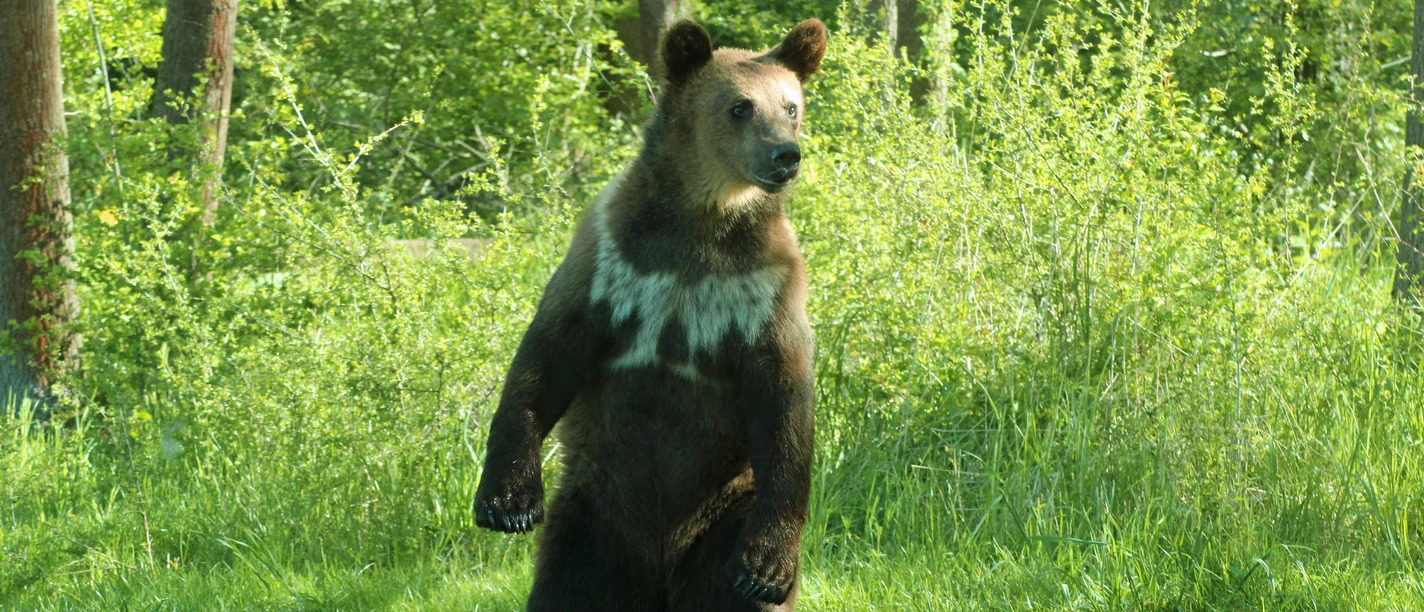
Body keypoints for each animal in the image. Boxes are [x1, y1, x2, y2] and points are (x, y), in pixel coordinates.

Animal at [473, 18, 827, 612]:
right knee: (569, 585)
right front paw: (508, 501)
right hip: (592, 522)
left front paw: (767, 567)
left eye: (792, 105)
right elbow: (546, 358)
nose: (786, 154)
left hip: (723, 515)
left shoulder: (764, 290)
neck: (704, 219)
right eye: (740, 107)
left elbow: (784, 404)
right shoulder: (610, 262)